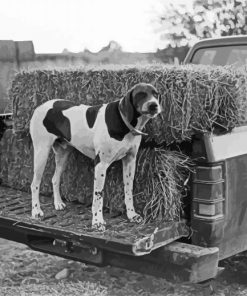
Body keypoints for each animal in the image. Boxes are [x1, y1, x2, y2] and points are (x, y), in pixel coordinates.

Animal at [29, 83, 162, 231]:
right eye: (140, 94)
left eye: (155, 94)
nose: (153, 105)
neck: (123, 122)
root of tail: (40, 106)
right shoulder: (100, 165)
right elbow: (98, 195)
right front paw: (97, 221)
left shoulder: (130, 162)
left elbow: (128, 190)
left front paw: (132, 215)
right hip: (41, 153)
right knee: (34, 184)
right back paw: (36, 211)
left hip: (62, 155)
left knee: (54, 179)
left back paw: (58, 203)